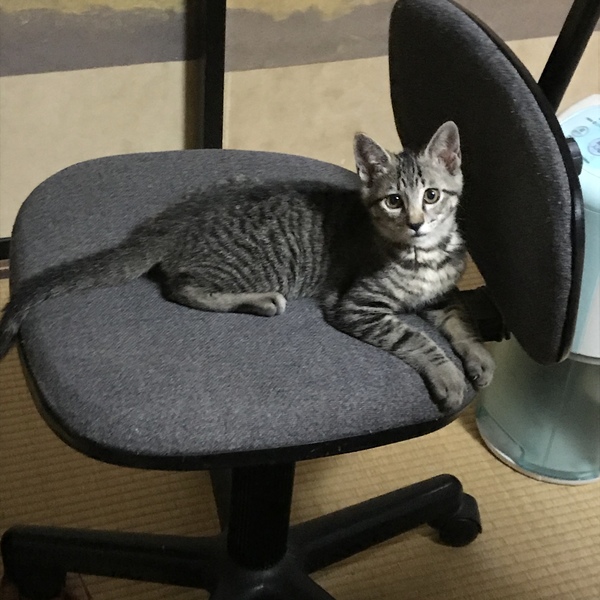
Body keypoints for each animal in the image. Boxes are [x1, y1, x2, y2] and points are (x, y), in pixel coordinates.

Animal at [0, 121, 494, 410]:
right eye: (393, 200)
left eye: (432, 195)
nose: (415, 223)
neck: (423, 255)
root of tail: (173, 221)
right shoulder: (355, 305)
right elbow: (414, 337)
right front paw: (449, 374)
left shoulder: (442, 294)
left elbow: (459, 317)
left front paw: (479, 357)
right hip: (256, 265)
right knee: (180, 286)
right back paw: (259, 302)